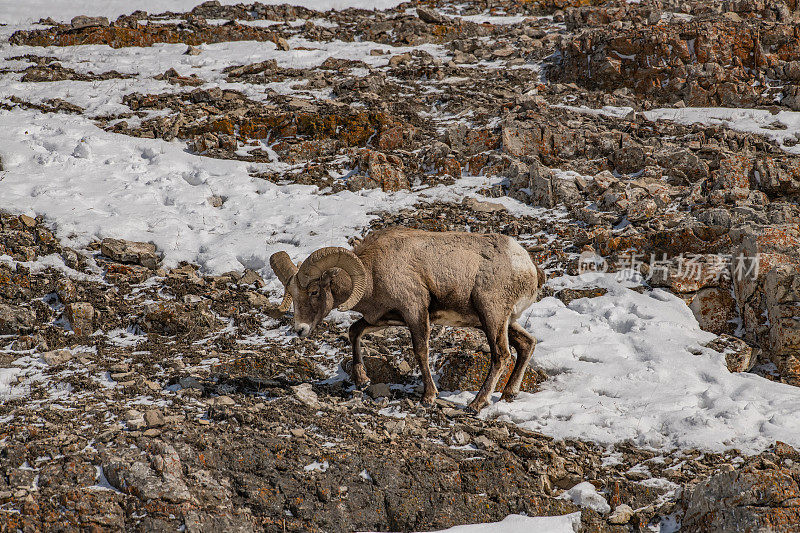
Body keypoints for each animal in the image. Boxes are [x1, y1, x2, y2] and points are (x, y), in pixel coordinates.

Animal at [268, 227, 544, 410]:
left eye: (315, 291)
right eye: (292, 294)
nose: (299, 329)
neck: (372, 272)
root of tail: (526, 266)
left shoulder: (415, 312)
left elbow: (420, 351)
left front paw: (429, 397)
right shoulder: (382, 319)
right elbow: (354, 331)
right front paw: (362, 379)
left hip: (492, 317)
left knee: (502, 355)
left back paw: (477, 404)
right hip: (502, 322)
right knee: (526, 344)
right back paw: (509, 394)